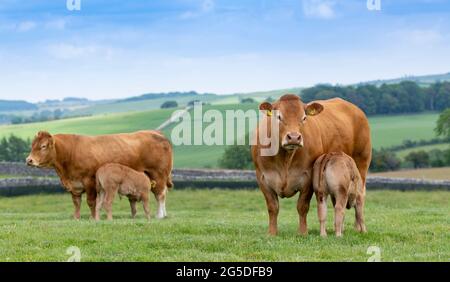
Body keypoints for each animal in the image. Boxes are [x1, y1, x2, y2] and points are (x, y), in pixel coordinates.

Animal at [26, 131, 173, 220]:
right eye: (32, 146)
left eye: (43, 146)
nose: (29, 160)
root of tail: (155, 132)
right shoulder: (75, 185)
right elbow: (76, 203)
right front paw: (76, 218)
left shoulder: (89, 181)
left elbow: (91, 202)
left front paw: (92, 218)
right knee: (163, 193)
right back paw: (165, 214)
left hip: (158, 174)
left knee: (160, 194)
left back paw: (160, 215)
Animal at [251, 94, 370, 236]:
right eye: (279, 116)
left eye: (304, 118)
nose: (294, 137)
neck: (285, 159)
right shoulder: (262, 178)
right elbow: (273, 207)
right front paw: (272, 233)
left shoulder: (308, 178)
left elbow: (302, 206)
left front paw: (303, 232)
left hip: (361, 164)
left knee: (359, 198)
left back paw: (358, 228)